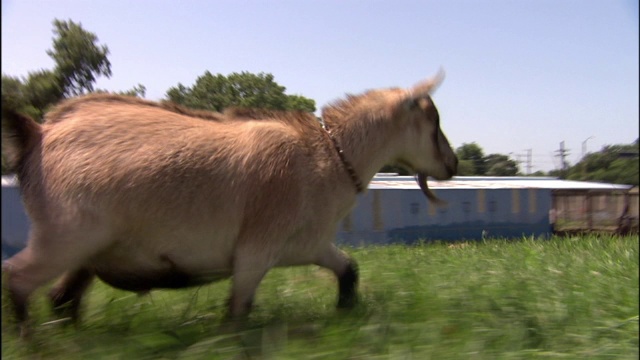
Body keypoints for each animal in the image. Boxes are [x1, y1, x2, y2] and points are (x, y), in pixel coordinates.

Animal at [2, 71, 458, 336]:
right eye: (432, 120)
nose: (452, 164)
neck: (329, 156)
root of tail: (38, 133)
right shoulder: (256, 249)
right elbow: (237, 310)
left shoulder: (307, 244)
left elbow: (349, 269)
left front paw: (346, 313)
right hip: (65, 235)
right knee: (18, 277)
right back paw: (33, 343)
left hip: (88, 252)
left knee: (61, 298)